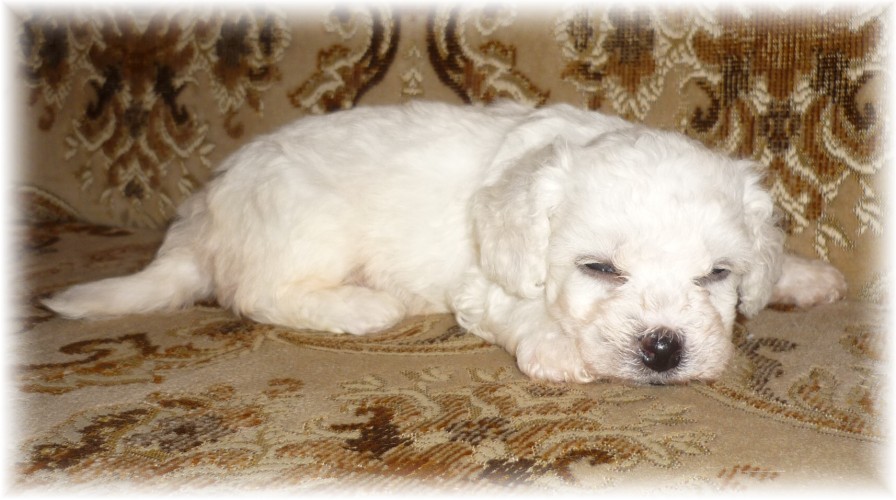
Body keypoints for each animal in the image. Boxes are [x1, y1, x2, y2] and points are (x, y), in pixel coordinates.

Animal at [44, 100, 847, 385]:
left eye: (716, 275)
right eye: (599, 268)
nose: (662, 349)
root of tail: (201, 215)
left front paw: (803, 276)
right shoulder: (481, 281)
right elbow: (523, 311)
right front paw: (558, 350)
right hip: (304, 224)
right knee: (254, 293)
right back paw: (364, 307)